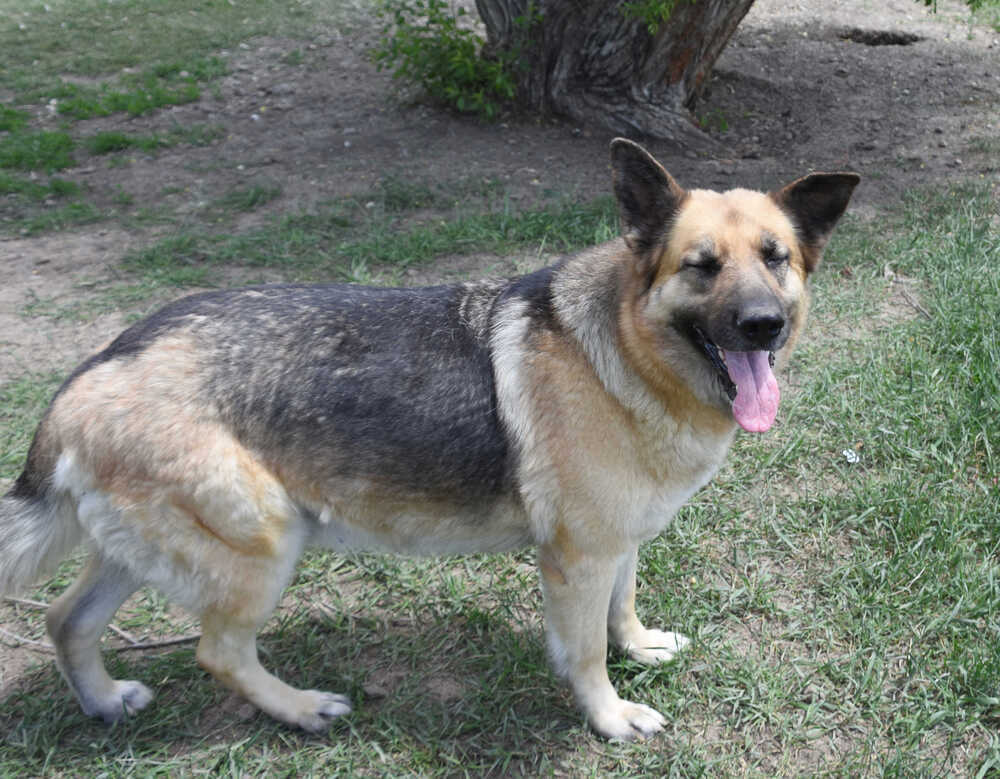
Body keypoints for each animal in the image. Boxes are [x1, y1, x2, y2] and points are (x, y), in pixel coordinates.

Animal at [1, 140, 860, 744]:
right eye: (701, 266)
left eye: (776, 258)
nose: (762, 325)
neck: (620, 348)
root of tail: (89, 375)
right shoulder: (577, 559)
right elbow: (584, 650)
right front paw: (610, 717)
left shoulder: (619, 543)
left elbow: (623, 606)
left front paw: (640, 645)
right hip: (265, 542)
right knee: (219, 652)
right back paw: (301, 707)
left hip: (146, 549)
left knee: (65, 619)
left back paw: (102, 699)